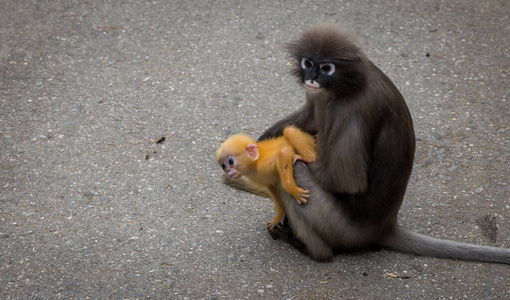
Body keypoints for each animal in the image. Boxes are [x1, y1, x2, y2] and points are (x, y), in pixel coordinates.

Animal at [226, 22, 510, 264]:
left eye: (327, 68)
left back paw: (310, 249)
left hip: (341, 227)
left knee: (297, 174)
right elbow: (309, 119)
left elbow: (347, 180)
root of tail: (383, 228)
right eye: (308, 63)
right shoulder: (321, 96)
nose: (312, 78)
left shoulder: (351, 113)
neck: (348, 82)